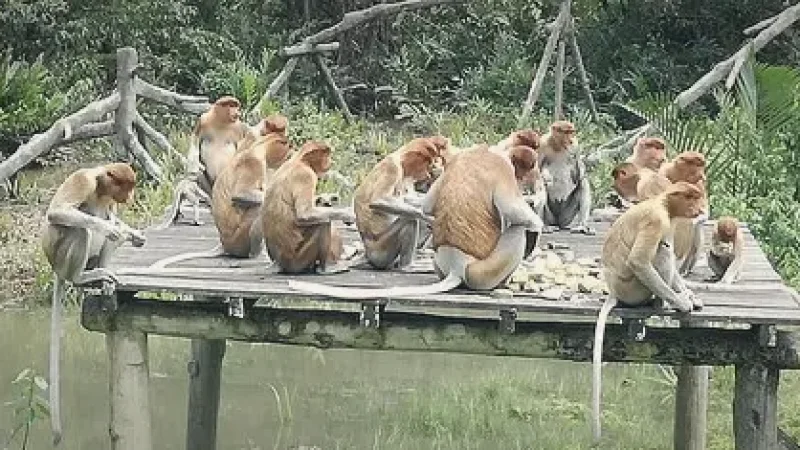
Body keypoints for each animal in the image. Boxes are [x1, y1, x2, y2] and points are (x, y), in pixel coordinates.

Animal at [40, 163, 146, 446]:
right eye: (125, 186)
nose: (130, 198)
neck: (100, 187)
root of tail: (56, 268)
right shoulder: (83, 181)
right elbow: (59, 212)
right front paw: (111, 229)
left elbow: (115, 219)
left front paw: (134, 234)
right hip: (63, 256)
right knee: (80, 229)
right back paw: (83, 277)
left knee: (108, 222)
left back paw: (105, 278)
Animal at [260, 140, 355, 274]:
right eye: (326, 154)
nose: (330, 162)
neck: (300, 160)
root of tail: (278, 262)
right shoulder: (306, 175)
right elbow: (305, 214)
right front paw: (348, 214)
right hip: (298, 259)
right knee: (323, 223)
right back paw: (327, 267)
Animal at [286, 144, 545, 298]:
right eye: (521, 170)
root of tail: (457, 265)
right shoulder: (501, 170)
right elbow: (518, 214)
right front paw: (536, 226)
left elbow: (429, 202)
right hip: (482, 271)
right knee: (517, 230)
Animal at [590, 181, 705, 444]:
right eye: (691, 197)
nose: (700, 209)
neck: (663, 203)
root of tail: (614, 290)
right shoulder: (657, 220)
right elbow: (639, 260)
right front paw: (682, 302)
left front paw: (691, 297)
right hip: (633, 289)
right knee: (661, 250)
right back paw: (660, 305)